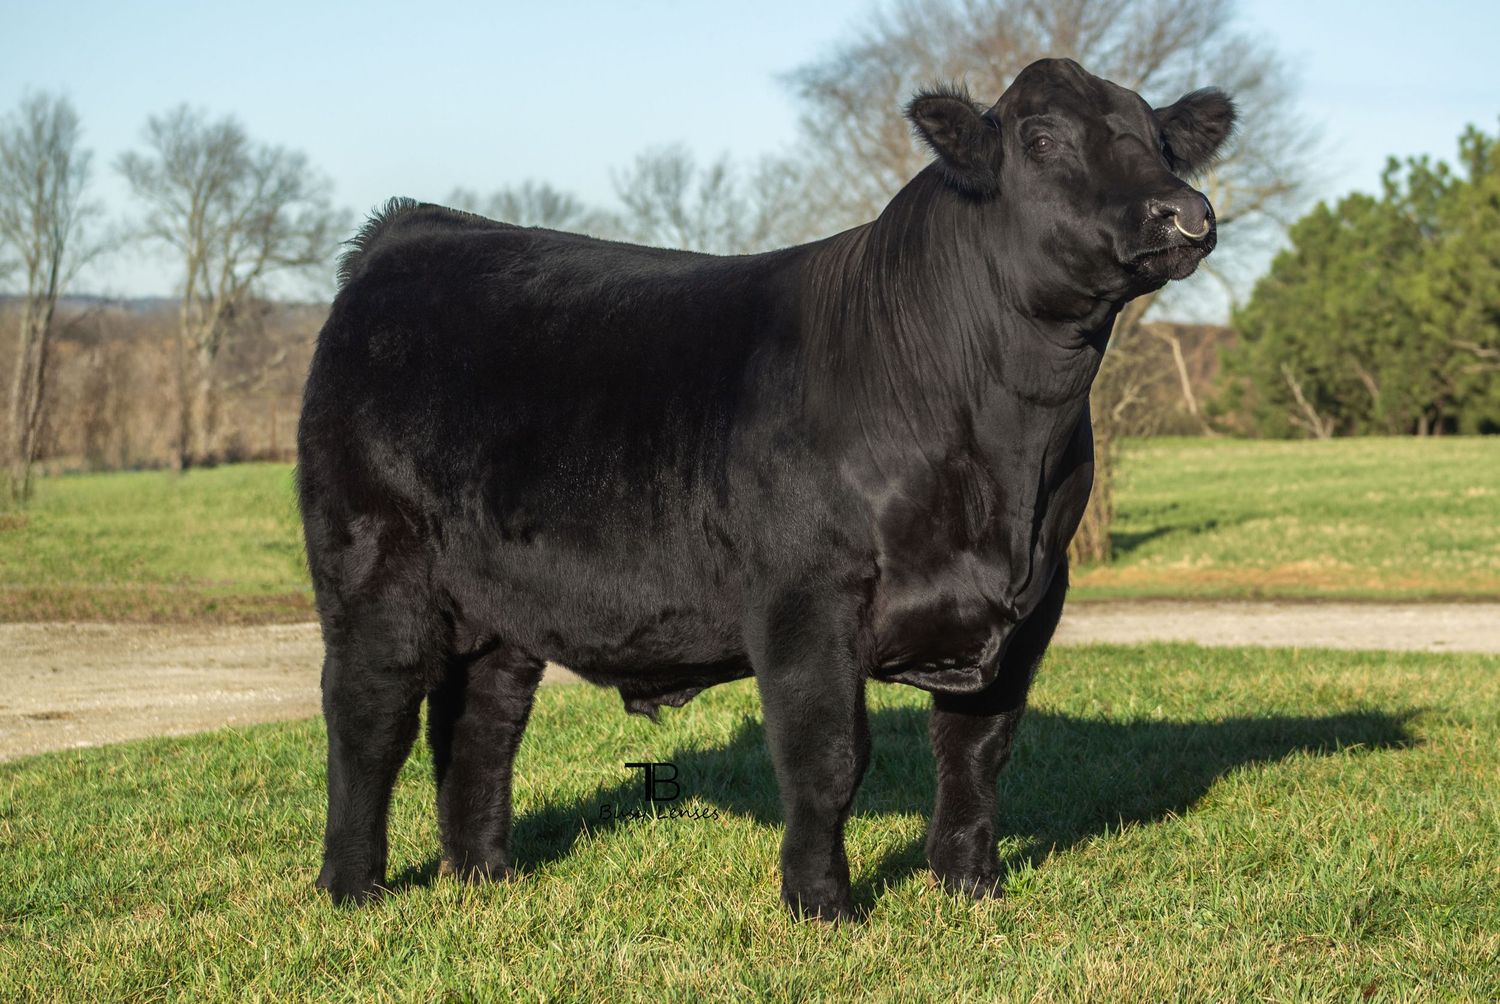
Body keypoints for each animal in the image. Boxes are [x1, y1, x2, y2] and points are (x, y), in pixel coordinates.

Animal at [297, 57, 1235, 921]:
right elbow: (827, 759)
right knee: (368, 713)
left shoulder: (1035, 599)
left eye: (1159, 139)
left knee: (482, 719)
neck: (1003, 462)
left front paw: (971, 887)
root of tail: (412, 231)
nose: (1185, 211)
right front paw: (823, 904)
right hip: (372, 567)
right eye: (1041, 140)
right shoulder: (804, 595)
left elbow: (978, 749)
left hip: (497, 600)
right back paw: (353, 889)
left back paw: (484, 875)